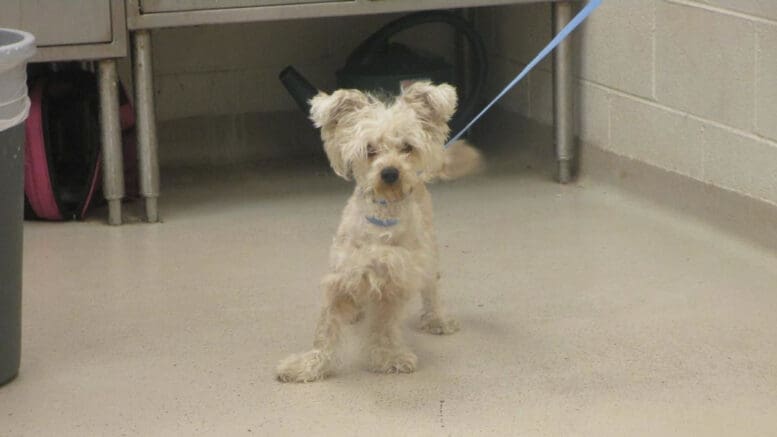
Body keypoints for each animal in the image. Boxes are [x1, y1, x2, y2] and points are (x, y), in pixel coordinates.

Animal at [276, 82, 482, 382]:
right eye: (369, 149)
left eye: (407, 147)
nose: (390, 173)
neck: (381, 222)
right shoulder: (341, 276)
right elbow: (325, 331)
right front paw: (309, 366)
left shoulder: (394, 282)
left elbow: (385, 327)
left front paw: (388, 358)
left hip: (428, 254)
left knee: (431, 289)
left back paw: (437, 319)